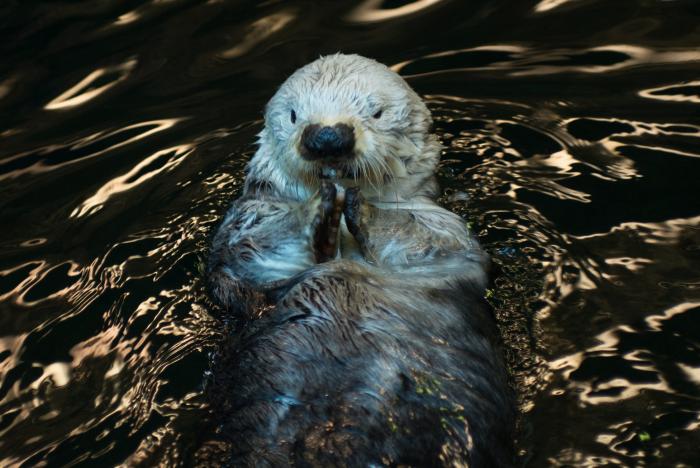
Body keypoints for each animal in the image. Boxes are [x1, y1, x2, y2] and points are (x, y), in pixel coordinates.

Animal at [205, 55, 512, 468]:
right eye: (293, 115)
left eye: (376, 112)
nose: (326, 138)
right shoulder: (248, 222)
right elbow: (246, 253)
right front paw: (315, 209)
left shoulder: (448, 233)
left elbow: (428, 240)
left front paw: (361, 207)